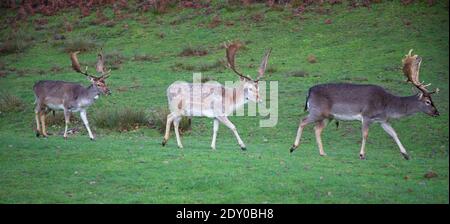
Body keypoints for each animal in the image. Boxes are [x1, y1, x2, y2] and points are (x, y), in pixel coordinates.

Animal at [288, 50, 440, 160]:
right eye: (428, 101)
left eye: (432, 100)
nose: (437, 113)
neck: (387, 105)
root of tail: (309, 91)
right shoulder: (367, 115)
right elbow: (365, 134)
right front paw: (361, 154)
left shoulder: (383, 120)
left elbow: (394, 133)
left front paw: (406, 155)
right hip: (317, 111)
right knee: (302, 121)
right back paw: (293, 147)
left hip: (328, 116)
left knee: (317, 129)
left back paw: (322, 153)